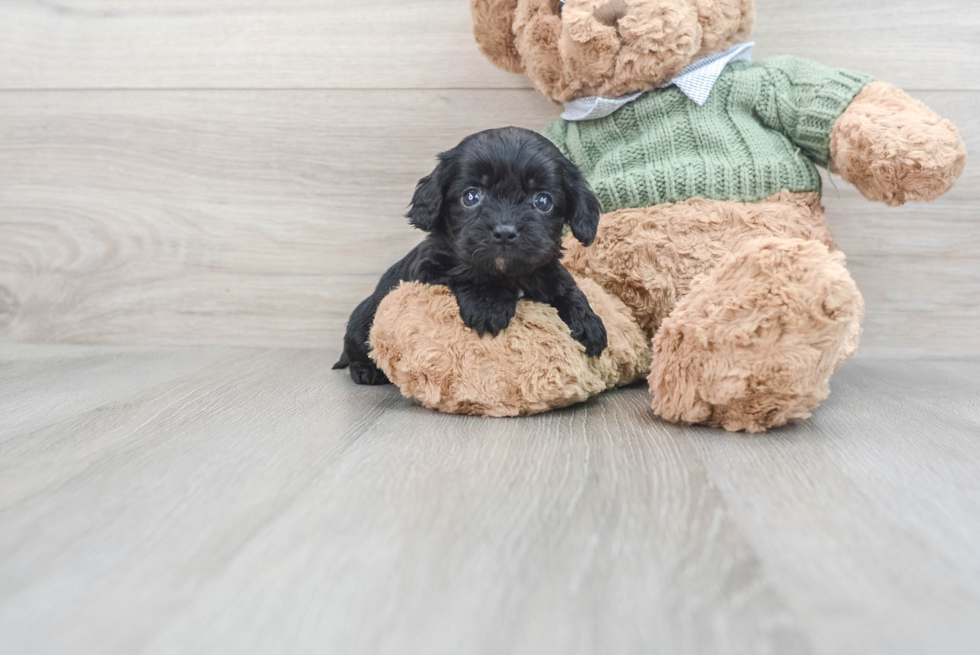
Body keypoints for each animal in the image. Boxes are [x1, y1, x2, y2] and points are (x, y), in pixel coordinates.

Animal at [334, 126, 604, 386]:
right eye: (471, 196)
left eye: (543, 201)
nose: (505, 232)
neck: (509, 274)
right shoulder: (430, 271)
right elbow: (468, 274)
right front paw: (489, 305)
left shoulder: (547, 270)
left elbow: (566, 287)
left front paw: (588, 322)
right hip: (362, 325)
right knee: (357, 352)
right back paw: (366, 371)